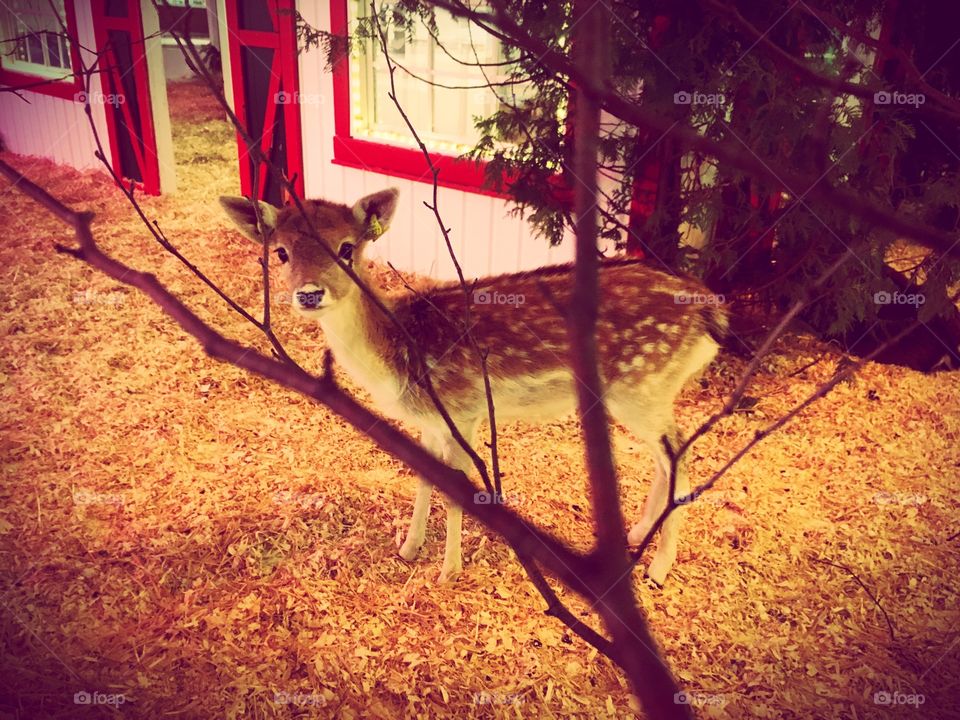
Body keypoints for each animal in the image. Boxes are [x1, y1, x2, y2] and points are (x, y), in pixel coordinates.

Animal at [220, 189, 727, 584]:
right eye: (281, 252)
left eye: (347, 248)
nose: (309, 293)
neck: (398, 357)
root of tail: (710, 311)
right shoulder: (429, 420)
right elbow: (425, 478)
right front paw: (408, 549)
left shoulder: (461, 410)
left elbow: (456, 489)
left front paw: (449, 571)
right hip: (645, 394)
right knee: (669, 457)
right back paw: (639, 537)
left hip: (642, 386)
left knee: (682, 458)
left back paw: (658, 568)